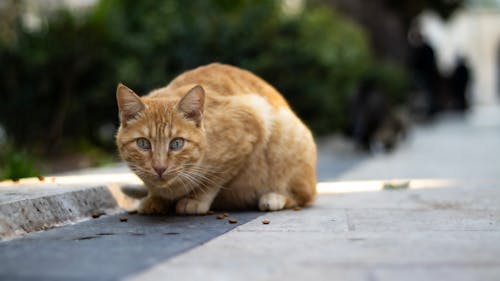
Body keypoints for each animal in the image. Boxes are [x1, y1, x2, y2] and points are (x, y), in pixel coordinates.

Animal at [115, 62, 314, 213]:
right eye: (143, 143)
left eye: (176, 143)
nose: (159, 168)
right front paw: (155, 199)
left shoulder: (251, 123)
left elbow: (213, 179)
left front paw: (195, 199)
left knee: (305, 195)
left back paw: (275, 197)